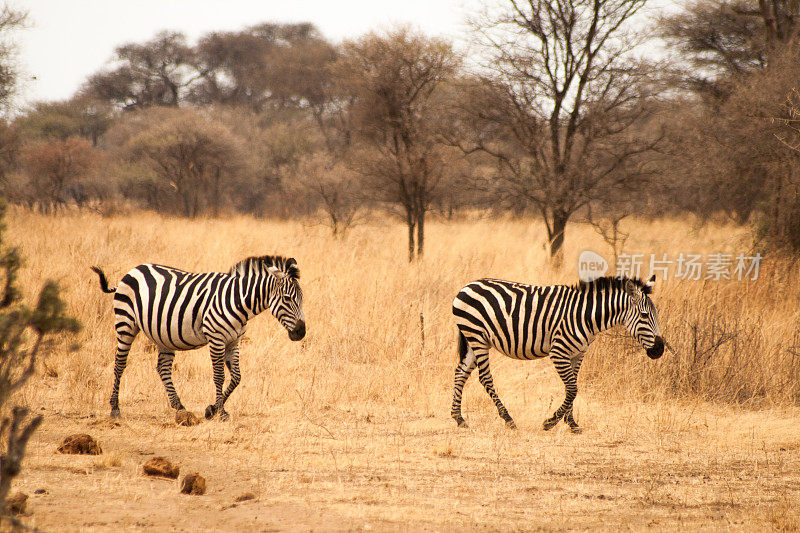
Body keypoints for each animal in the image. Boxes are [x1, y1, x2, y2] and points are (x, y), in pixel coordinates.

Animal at [90, 255, 306, 420]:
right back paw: (115, 408)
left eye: (302, 299)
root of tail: (133, 270)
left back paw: (179, 406)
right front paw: (220, 413)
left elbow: (237, 377)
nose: (301, 332)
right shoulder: (216, 339)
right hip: (125, 323)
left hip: (163, 335)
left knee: (163, 368)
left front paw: (212, 409)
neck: (238, 301)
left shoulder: (233, 341)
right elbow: (219, 376)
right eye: (287, 298)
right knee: (120, 364)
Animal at [450, 274, 664, 432]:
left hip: (476, 340)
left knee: (460, 372)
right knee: (485, 378)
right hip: (477, 337)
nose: (659, 350)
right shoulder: (558, 352)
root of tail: (467, 285)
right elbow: (572, 389)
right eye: (645, 315)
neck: (586, 316)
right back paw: (508, 419)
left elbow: (573, 387)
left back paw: (459, 418)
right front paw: (550, 422)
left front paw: (572, 423)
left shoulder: (578, 353)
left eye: (656, 314)